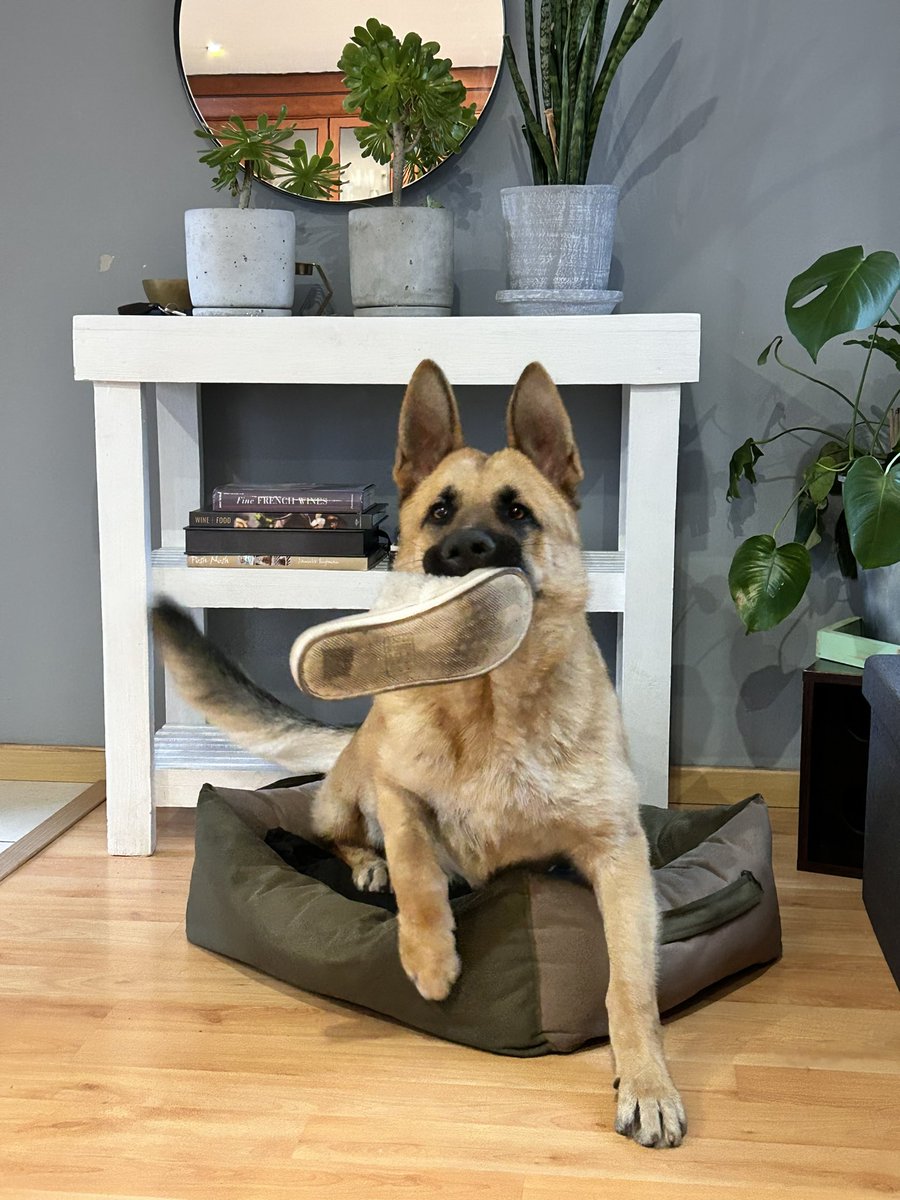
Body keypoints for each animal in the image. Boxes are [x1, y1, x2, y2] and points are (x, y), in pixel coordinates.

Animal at [157, 360, 691, 1147]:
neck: (490, 707)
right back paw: (368, 866)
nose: (467, 551)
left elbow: (630, 983)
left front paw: (648, 1083)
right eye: (440, 512)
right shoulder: (397, 791)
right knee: (335, 834)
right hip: (350, 788)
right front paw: (430, 955)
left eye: (518, 513)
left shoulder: (619, 855)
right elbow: (416, 864)